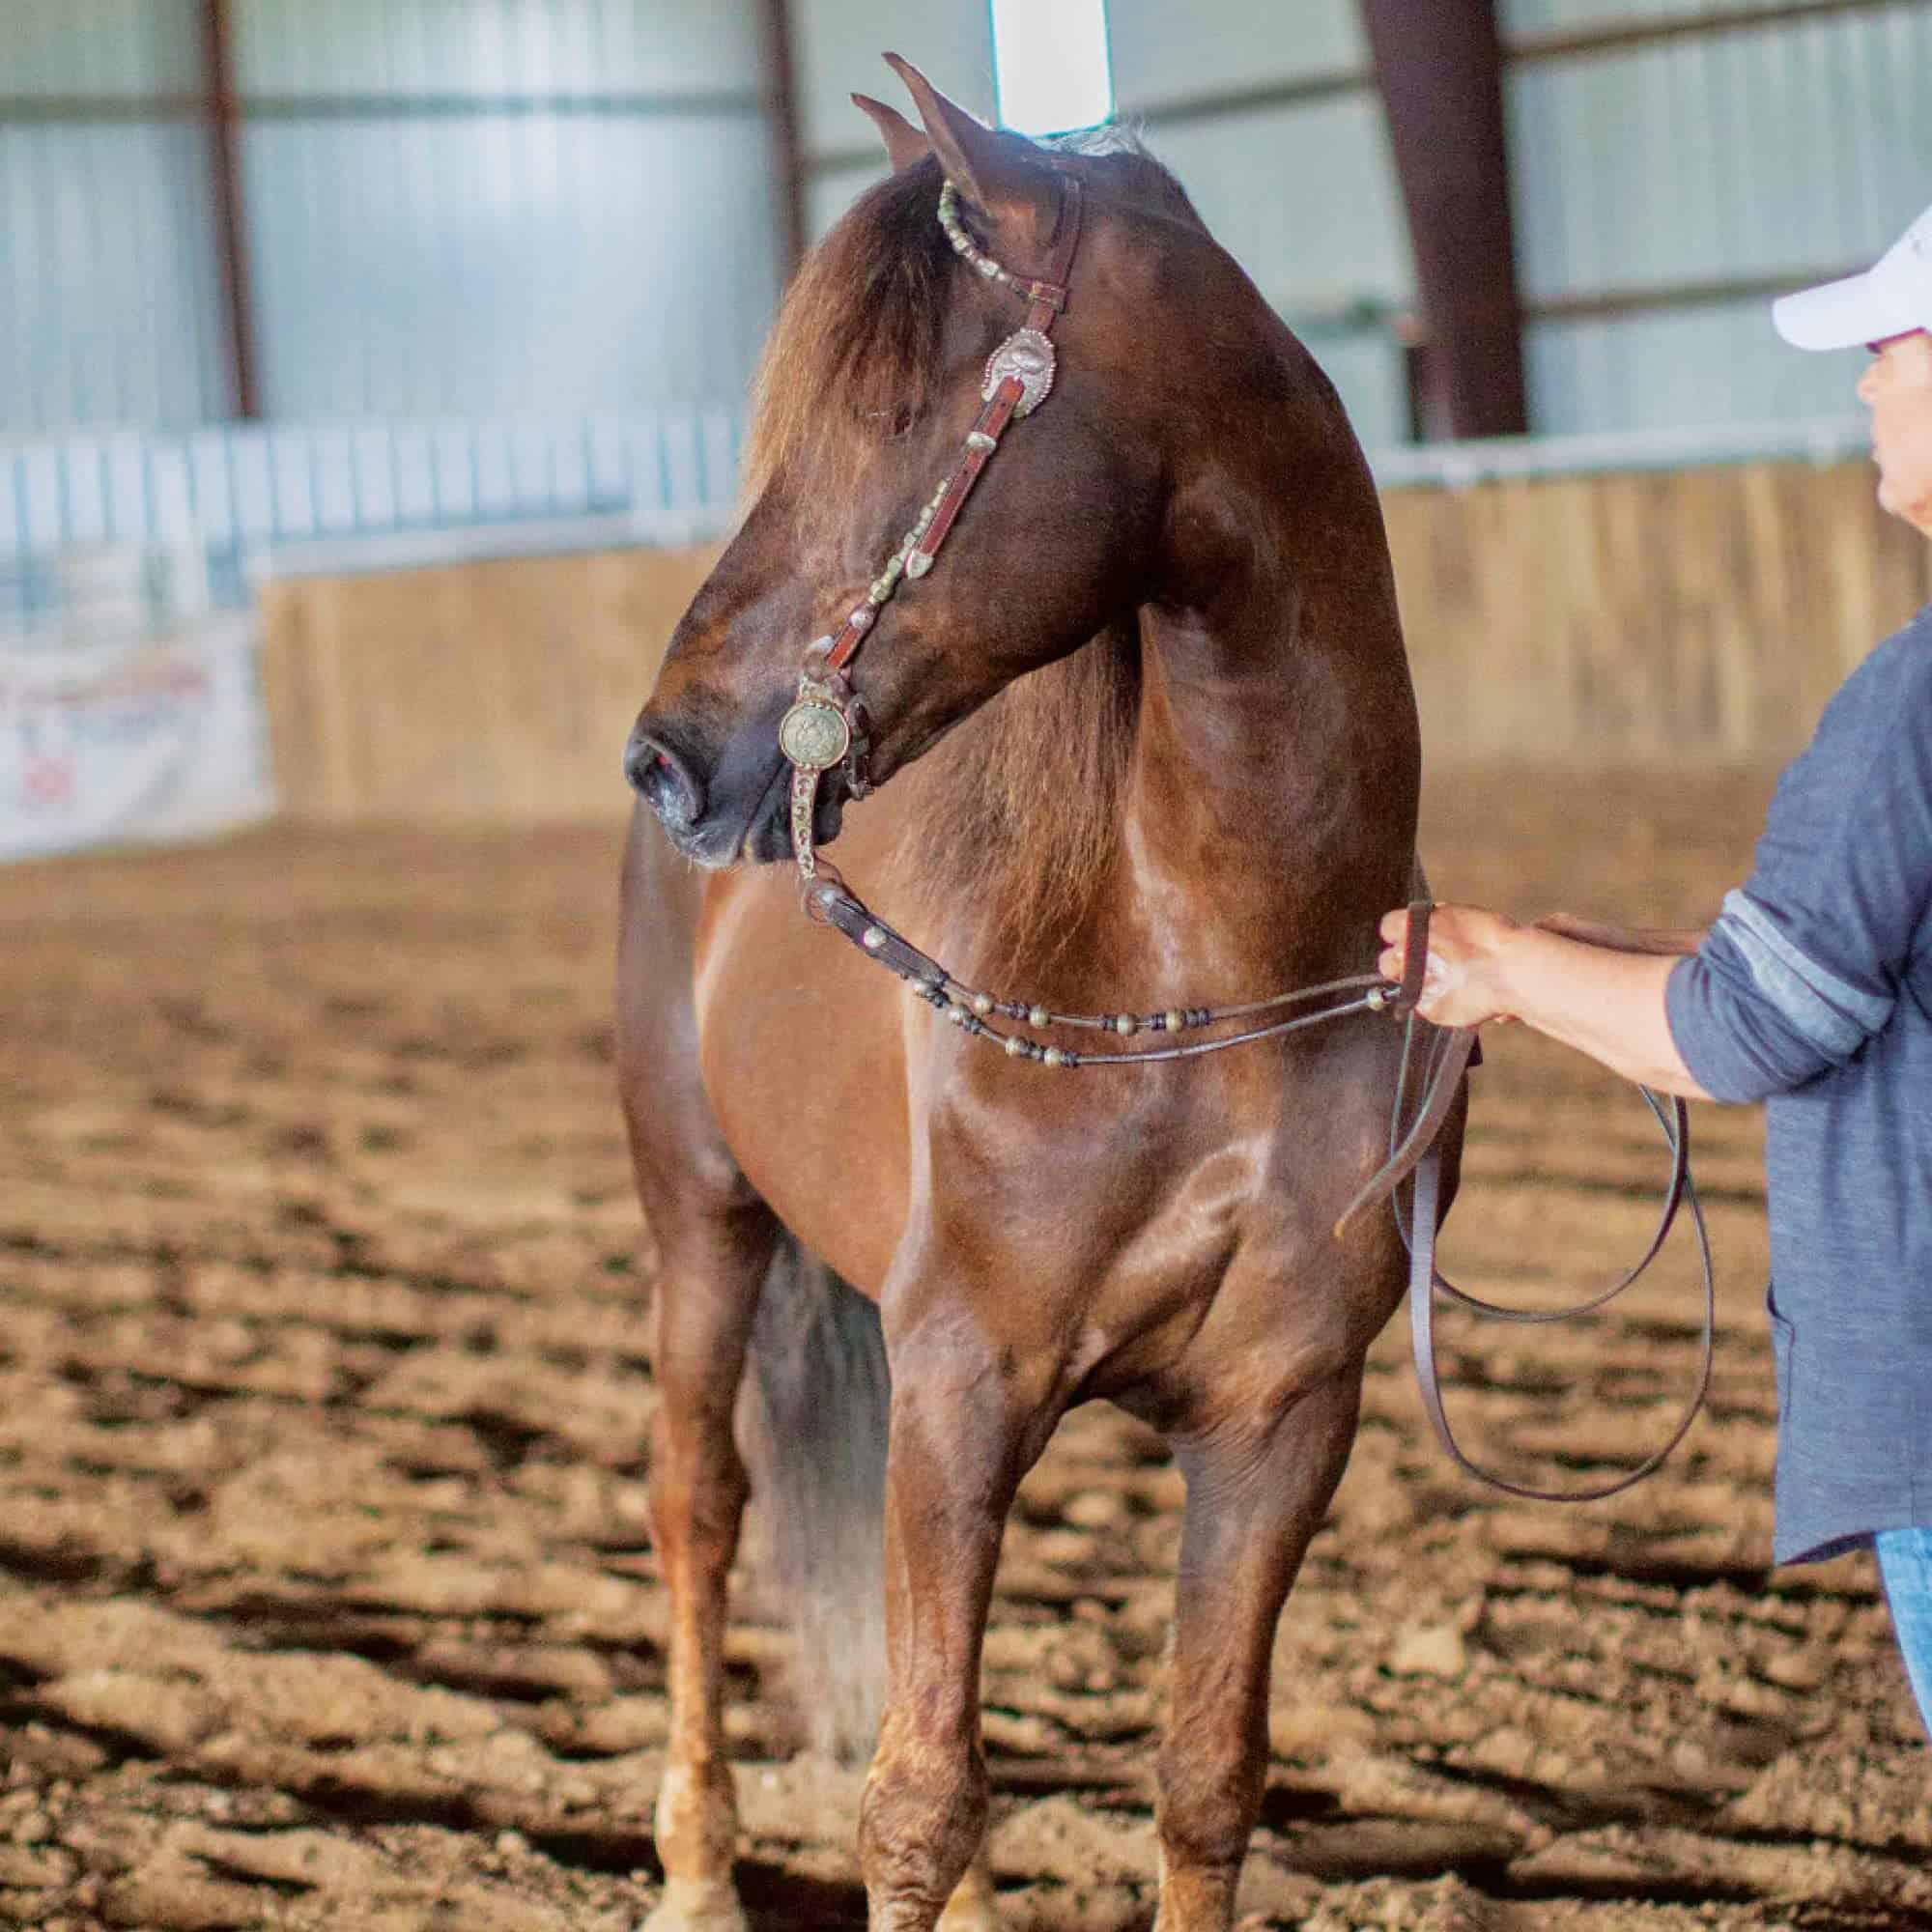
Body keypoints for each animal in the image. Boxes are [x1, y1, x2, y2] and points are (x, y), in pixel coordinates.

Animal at [616, 54, 1464, 1932]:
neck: (1219, 979)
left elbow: (1204, 1781)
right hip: (701, 1221)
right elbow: (915, 1801)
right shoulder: (960, 1379)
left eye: (891, 419)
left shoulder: (1284, 1416)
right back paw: (696, 1869)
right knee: (698, 1508)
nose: (668, 756)